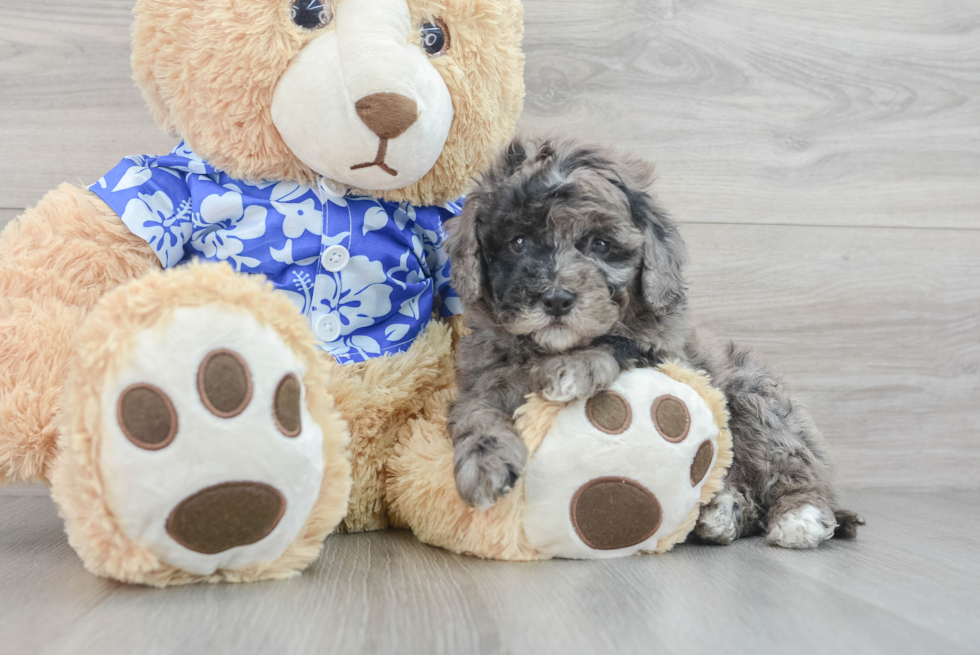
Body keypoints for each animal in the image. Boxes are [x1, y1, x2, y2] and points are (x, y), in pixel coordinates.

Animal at [446, 136, 864, 552]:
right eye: (518, 242)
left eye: (600, 244)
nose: (557, 300)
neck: (550, 347)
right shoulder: (484, 379)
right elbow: (476, 413)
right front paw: (484, 465)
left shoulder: (667, 354)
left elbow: (623, 344)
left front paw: (575, 368)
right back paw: (723, 512)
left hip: (756, 400)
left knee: (793, 467)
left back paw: (798, 514)